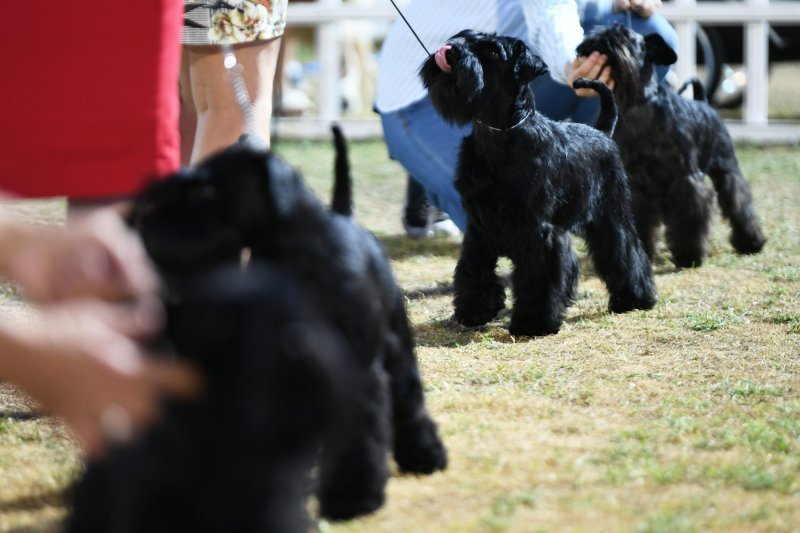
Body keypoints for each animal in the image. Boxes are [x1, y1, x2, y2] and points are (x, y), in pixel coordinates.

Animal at [65, 127, 446, 528]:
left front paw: (353, 498)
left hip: (395, 343)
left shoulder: (356, 371)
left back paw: (425, 455)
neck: (295, 254)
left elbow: (359, 435)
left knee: (407, 397)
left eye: (205, 190)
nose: (145, 220)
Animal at [418, 29, 656, 334]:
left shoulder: (536, 229)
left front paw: (533, 322)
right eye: (463, 36)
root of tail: (602, 132)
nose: (450, 51)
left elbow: (538, 274)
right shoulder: (479, 226)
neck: (499, 135)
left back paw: (635, 298)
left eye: (492, 51)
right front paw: (475, 310)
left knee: (626, 252)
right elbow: (474, 268)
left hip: (610, 216)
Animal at [576, 24, 768, 266]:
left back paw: (751, 241)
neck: (637, 107)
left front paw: (689, 254)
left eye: (625, 35)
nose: (597, 42)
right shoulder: (637, 185)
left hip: (726, 169)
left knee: (739, 202)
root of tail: (704, 102)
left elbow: (689, 215)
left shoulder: (684, 180)